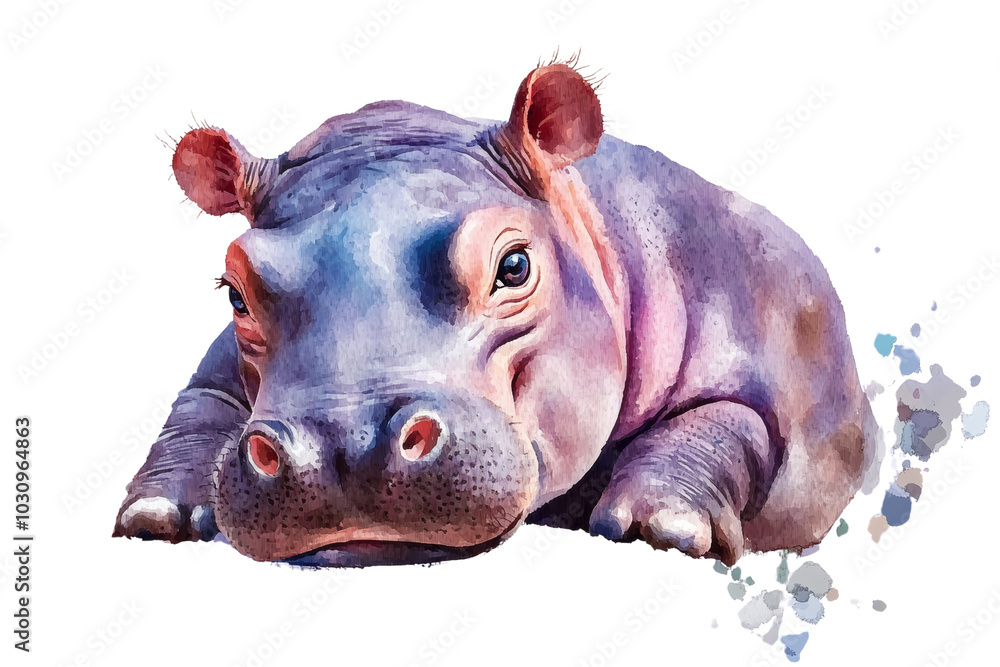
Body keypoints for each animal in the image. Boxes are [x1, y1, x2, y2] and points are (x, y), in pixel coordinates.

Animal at [114, 59, 879, 567]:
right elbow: (197, 405)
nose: (341, 448)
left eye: (514, 266)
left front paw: (657, 528)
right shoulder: (215, 370)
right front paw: (154, 516)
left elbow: (722, 422)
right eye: (235, 291)